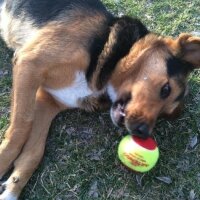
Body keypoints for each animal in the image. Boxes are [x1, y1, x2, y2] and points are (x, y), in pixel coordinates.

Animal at [0, 0, 199, 199]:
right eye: (166, 89)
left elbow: (34, 153)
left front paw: (12, 188)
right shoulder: (29, 65)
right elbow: (20, 130)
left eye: (165, 114)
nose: (143, 133)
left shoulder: (46, 101)